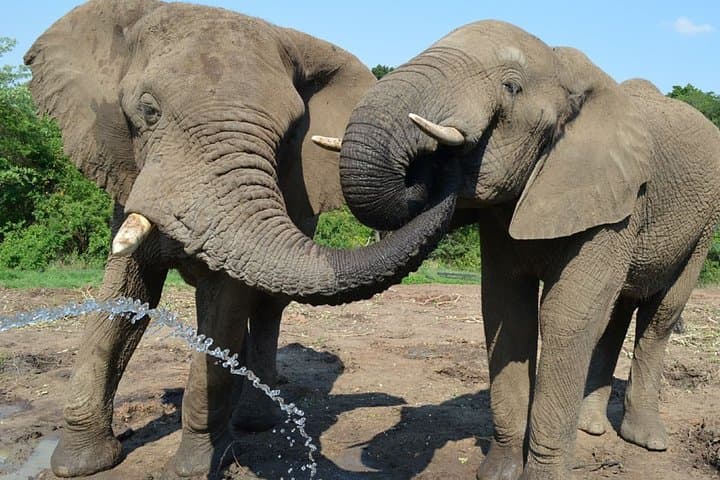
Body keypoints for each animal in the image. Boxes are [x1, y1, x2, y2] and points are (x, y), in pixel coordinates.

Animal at [24, 1, 459, 477]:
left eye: (290, 133)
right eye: (148, 112)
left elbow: (225, 305)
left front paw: (194, 469)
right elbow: (123, 302)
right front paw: (78, 464)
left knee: (266, 306)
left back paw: (255, 420)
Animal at [316, 20, 720, 480]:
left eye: (511, 87)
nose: (437, 162)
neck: (567, 70)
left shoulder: (617, 204)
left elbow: (566, 317)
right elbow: (508, 311)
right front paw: (498, 473)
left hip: (703, 225)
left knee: (660, 315)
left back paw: (646, 440)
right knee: (615, 314)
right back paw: (590, 428)